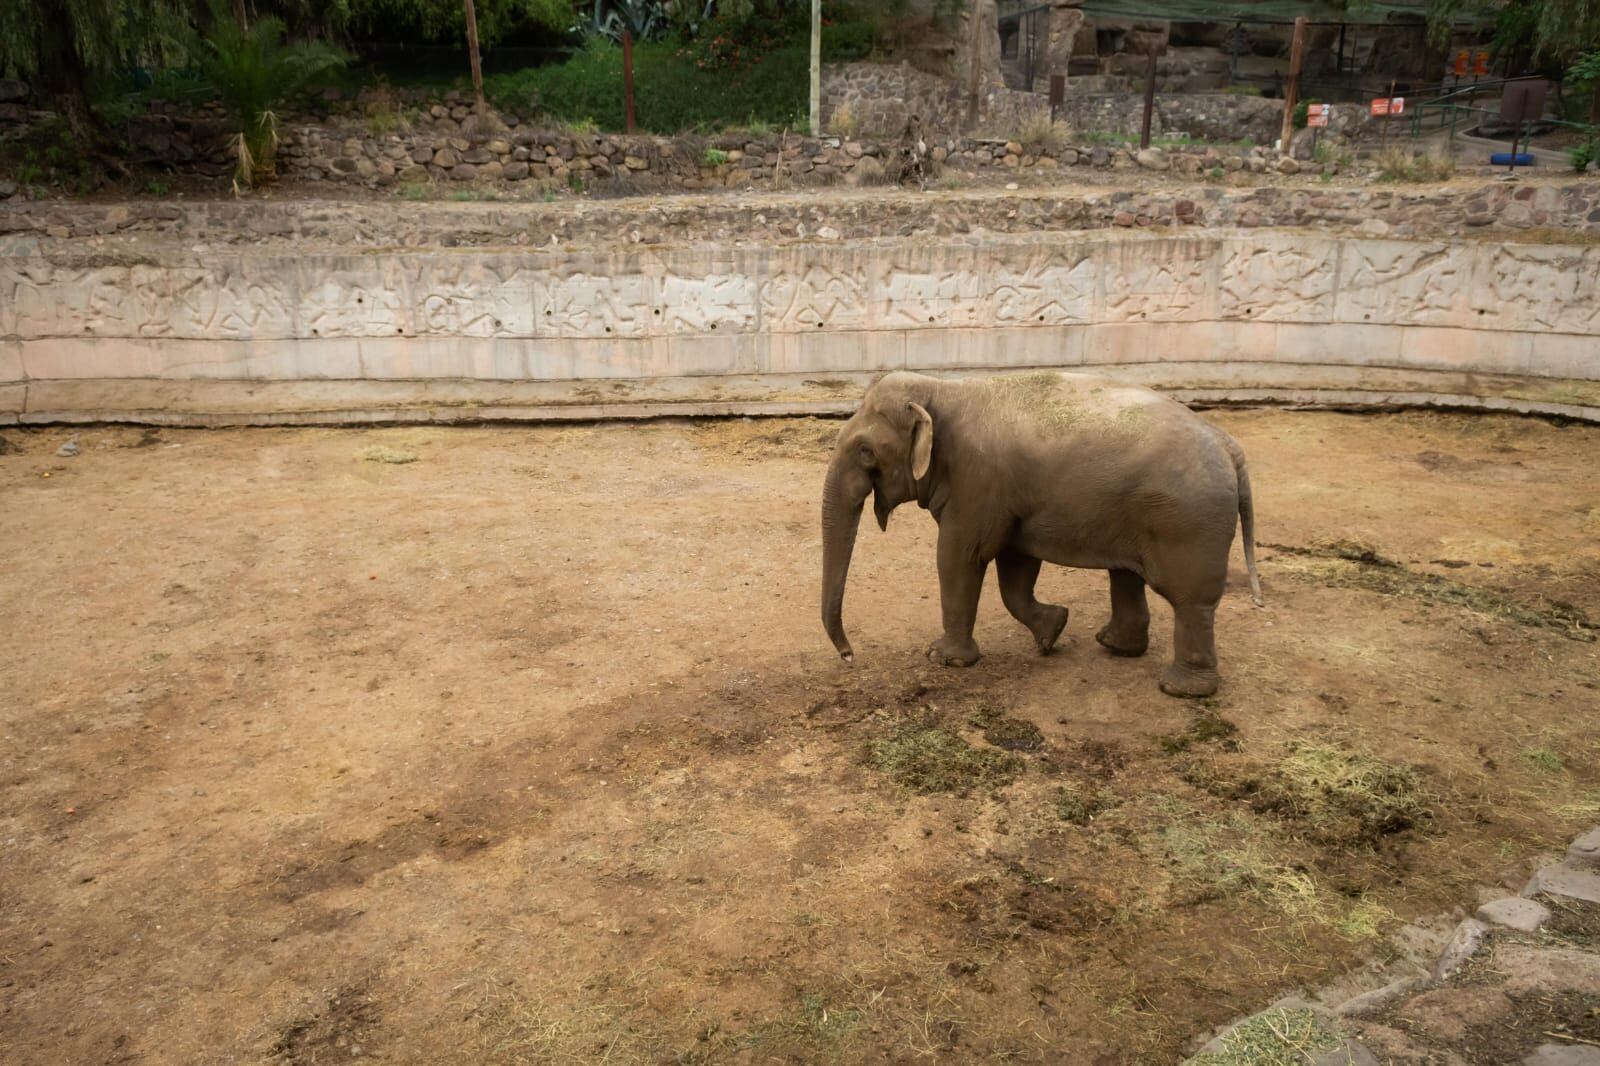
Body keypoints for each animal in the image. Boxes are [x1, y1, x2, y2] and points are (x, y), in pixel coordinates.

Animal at [825, 368, 1260, 697]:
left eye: (865, 450)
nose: (849, 656)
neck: (942, 388)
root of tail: (1230, 446)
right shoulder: (1009, 497)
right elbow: (1015, 565)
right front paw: (1052, 632)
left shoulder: (978, 482)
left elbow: (960, 554)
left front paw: (944, 659)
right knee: (1126, 575)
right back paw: (1115, 646)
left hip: (1187, 522)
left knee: (1190, 599)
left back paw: (1181, 690)